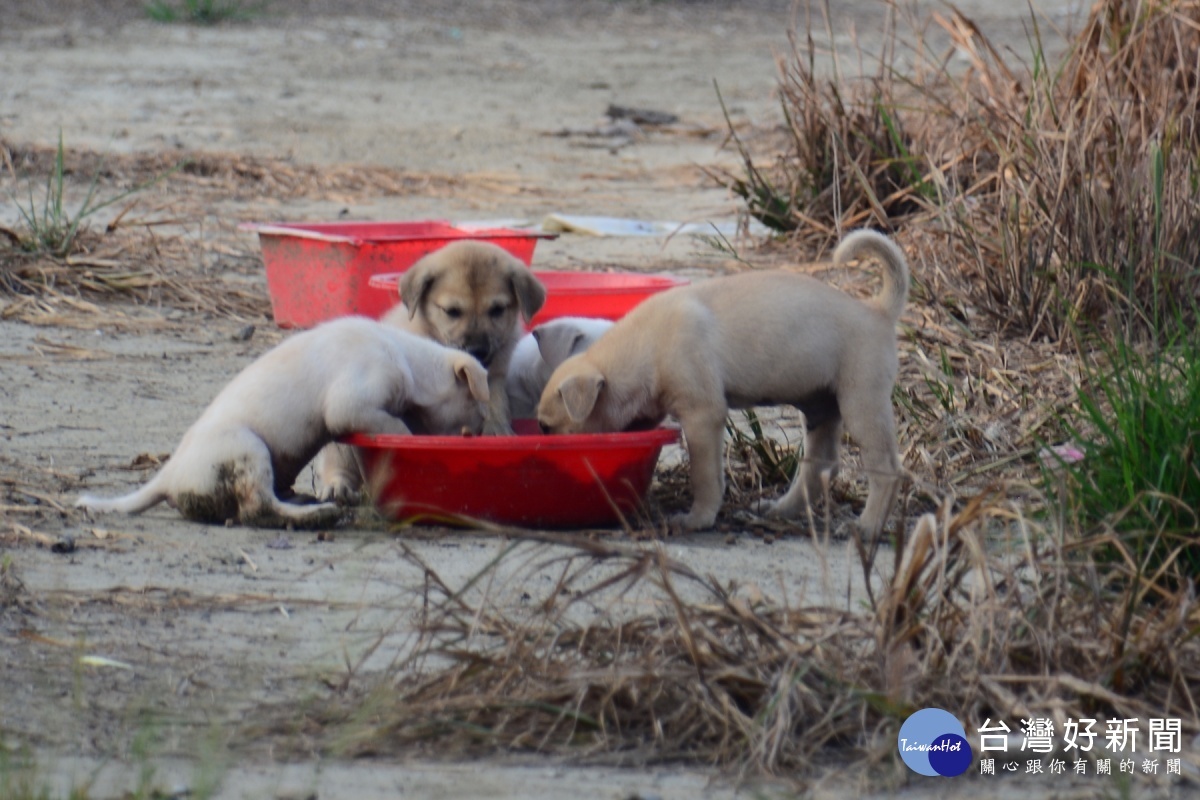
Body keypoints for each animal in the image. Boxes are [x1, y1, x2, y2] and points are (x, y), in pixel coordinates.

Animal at [77, 316, 489, 527]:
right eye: (479, 412)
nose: (481, 433)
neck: (407, 359)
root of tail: (168, 477)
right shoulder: (350, 404)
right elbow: (395, 428)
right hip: (248, 449)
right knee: (257, 508)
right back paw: (315, 514)